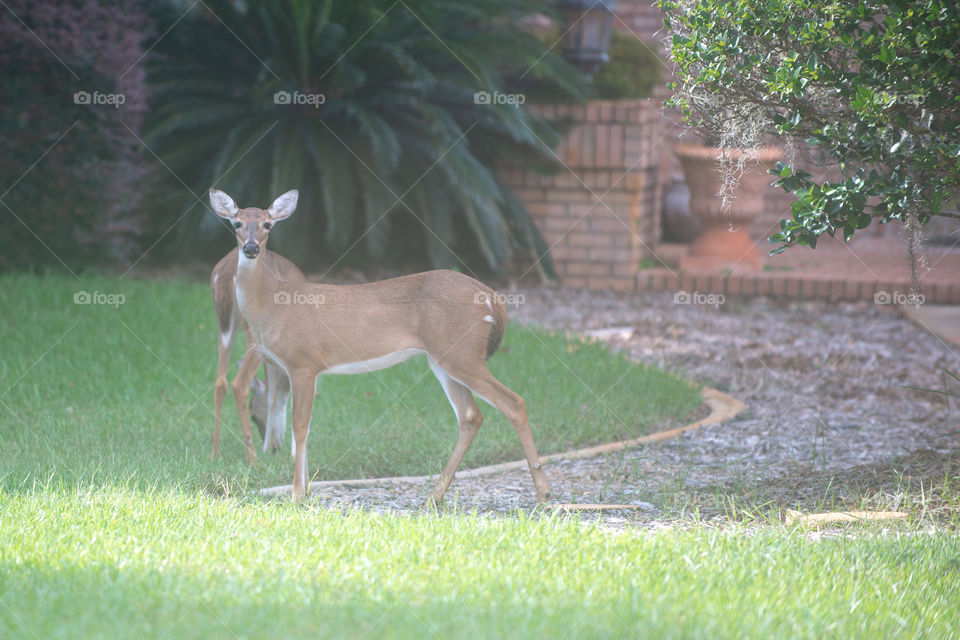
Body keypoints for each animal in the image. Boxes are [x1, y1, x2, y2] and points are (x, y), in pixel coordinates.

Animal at [210, 247, 305, 462]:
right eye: (253, 416)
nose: (276, 447)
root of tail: (226, 272)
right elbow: (284, 396)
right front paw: (291, 452)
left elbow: (273, 395)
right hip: (254, 331)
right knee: (239, 383)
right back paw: (252, 457)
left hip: (223, 324)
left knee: (220, 382)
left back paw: (215, 453)